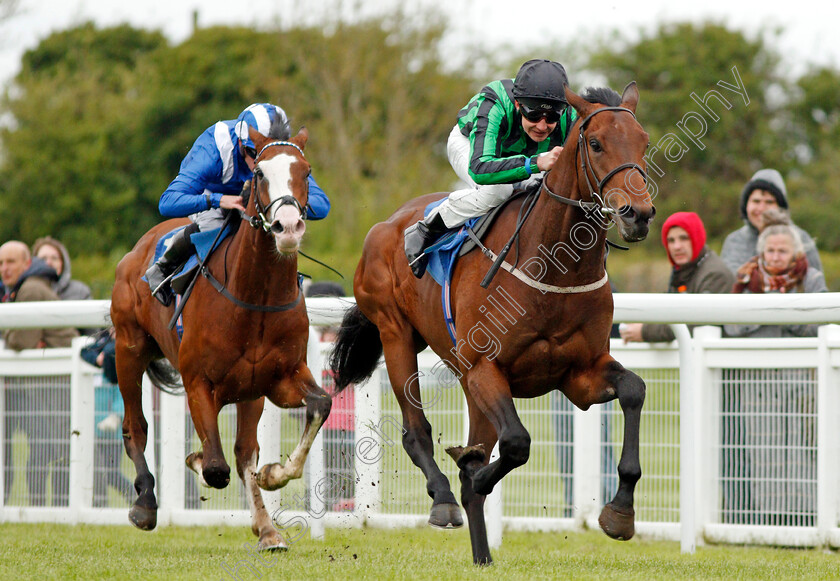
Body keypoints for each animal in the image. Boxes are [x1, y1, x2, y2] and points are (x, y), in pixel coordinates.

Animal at [107, 123, 328, 548]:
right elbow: (213, 466)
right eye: (259, 173)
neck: (255, 297)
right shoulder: (198, 383)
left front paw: (274, 475)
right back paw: (145, 505)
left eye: (306, 171)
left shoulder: (279, 378)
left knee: (243, 452)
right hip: (129, 350)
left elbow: (318, 406)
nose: (287, 228)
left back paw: (267, 528)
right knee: (136, 427)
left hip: (249, 392)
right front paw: (195, 460)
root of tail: (137, 250)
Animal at [332, 81, 652, 560]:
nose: (639, 214)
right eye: (596, 144)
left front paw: (620, 512)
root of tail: (387, 224)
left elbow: (634, 389)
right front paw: (468, 473)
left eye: (644, 143)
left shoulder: (580, 375)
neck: (554, 268)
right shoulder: (485, 367)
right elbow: (515, 445)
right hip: (397, 335)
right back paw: (444, 499)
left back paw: (482, 556)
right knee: (416, 431)